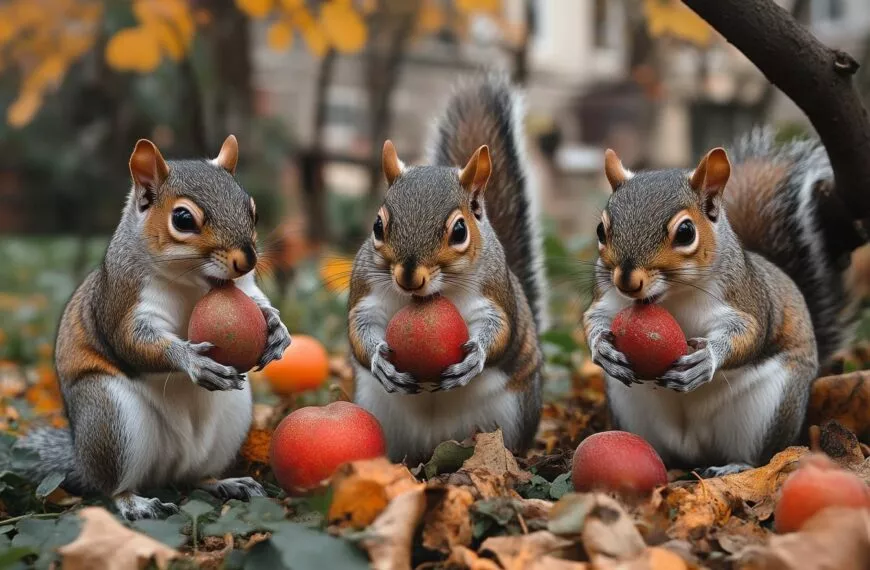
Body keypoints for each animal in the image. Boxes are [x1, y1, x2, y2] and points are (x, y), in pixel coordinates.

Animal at [14, 135, 292, 516]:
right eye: (183, 218)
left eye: (254, 211)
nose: (247, 259)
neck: (193, 284)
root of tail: (167, 467)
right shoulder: (124, 297)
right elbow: (132, 341)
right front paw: (192, 361)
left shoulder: (244, 287)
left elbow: (257, 300)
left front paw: (277, 329)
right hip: (111, 418)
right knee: (113, 486)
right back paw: (136, 503)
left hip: (231, 421)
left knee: (196, 476)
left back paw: (225, 482)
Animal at [346, 73, 544, 464]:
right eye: (378, 226)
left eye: (459, 231)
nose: (409, 276)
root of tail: (434, 445)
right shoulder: (366, 294)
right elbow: (359, 328)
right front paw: (378, 361)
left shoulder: (494, 294)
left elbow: (500, 329)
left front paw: (476, 356)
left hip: (511, 414)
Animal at [584, 129, 860, 474]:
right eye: (600, 230)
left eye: (686, 232)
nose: (627, 281)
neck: (671, 297)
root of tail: (693, 449)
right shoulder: (607, 298)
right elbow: (593, 320)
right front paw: (602, 349)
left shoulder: (746, 300)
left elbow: (751, 334)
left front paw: (707, 359)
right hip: (630, 406)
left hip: (766, 407)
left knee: (757, 457)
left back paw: (734, 467)